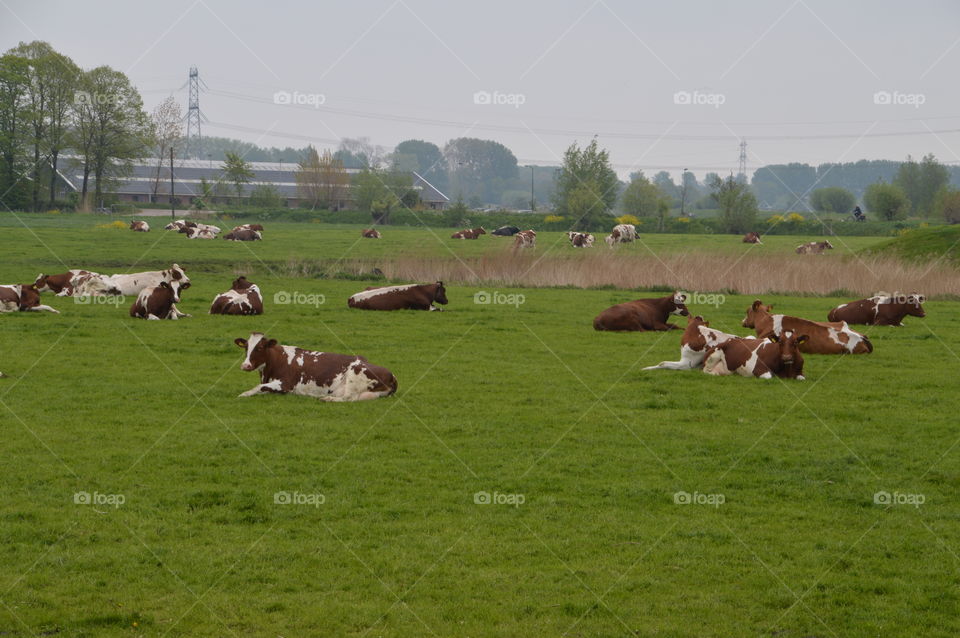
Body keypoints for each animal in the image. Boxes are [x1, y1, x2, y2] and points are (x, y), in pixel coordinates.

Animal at [234, 332, 398, 401]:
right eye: (246, 347)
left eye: (260, 348)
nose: (245, 365)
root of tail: (392, 375)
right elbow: (263, 388)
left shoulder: (285, 384)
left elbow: (258, 387)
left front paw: (243, 394)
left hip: (355, 373)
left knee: (348, 398)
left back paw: (327, 399)